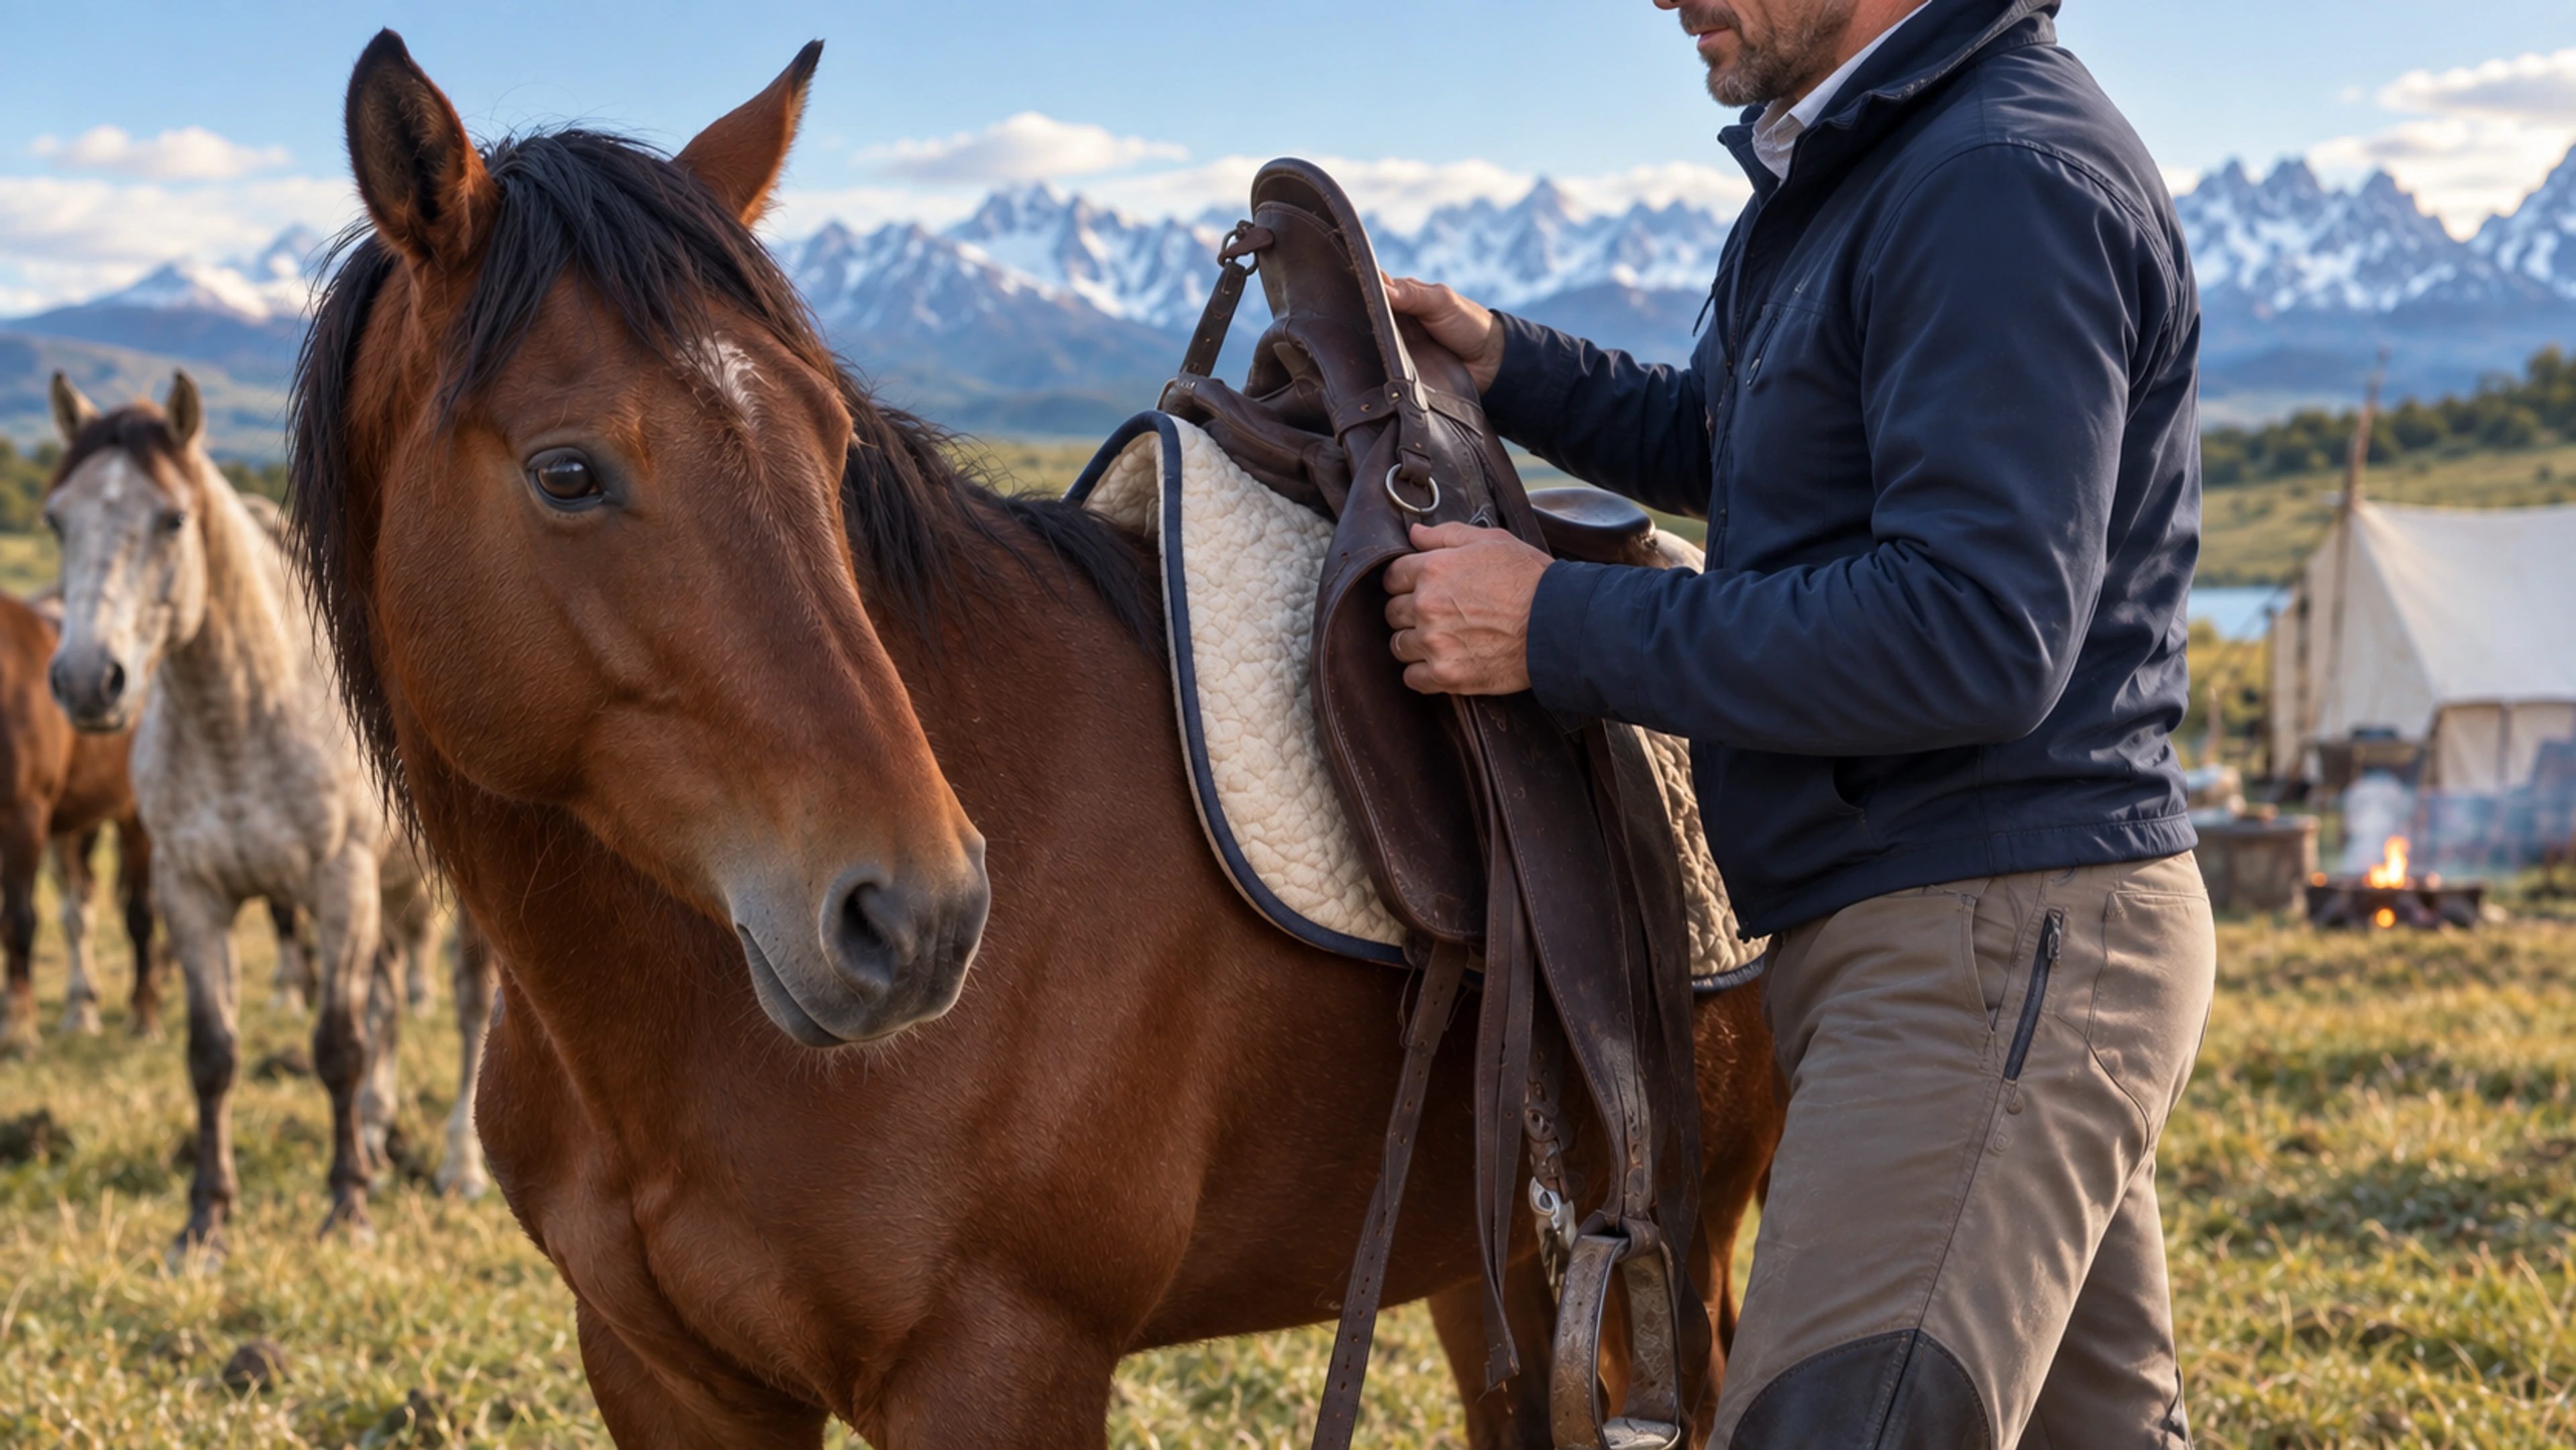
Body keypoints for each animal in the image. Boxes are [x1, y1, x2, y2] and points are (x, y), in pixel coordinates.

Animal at [0, 591, 158, 1050]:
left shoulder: (24, 818)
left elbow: (18, 920)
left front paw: (19, 1028)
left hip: (133, 818)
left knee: (141, 914)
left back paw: (144, 1014)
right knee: (79, 909)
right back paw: (81, 1009)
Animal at [42, 372, 496, 1247]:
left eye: (172, 519)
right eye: (56, 519)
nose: (86, 681)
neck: (241, 718)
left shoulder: (339, 886)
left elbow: (338, 1046)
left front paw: (348, 1206)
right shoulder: (192, 894)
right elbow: (213, 1054)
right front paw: (205, 1221)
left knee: (465, 1004)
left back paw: (459, 1164)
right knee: (391, 997)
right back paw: (382, 1131)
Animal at [298, 33, 1781, 1445]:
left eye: (832, 445)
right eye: (566, 471)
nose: (920, 916)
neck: (667, 1042)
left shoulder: (1002, 1369)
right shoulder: (662, 1377)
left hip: (1685, 1251)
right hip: (1491, 1263)